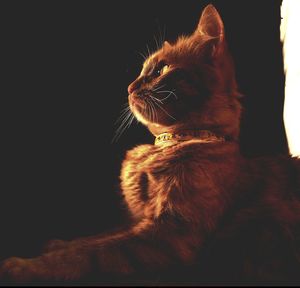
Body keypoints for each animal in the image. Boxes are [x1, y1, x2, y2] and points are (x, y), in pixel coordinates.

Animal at [0, 4, 300, 286]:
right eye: (143, 70)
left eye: (162, 69)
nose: (129, 87)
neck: (170, 143)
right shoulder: (136, 220)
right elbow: (98, 236)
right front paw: (59, 243)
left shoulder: (167, 236)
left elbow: (92, 252)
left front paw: (24, 266)